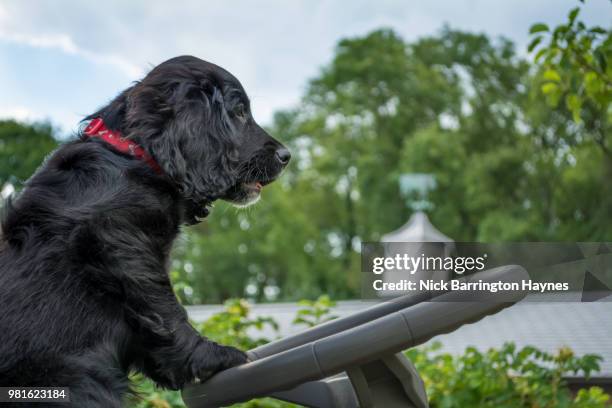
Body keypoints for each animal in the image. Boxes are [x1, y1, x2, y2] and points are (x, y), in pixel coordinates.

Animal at [0, 55, 290, 406]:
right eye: (238, 112)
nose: (287, 156)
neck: (131, 154)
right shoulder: (121, 245)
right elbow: (166, 310)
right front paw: (213, 357)